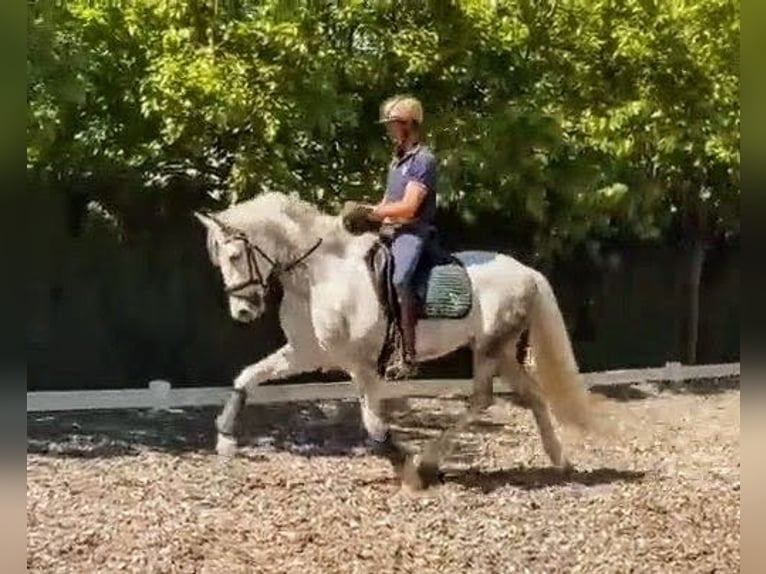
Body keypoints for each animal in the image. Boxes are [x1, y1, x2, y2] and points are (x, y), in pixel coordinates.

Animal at [194, 191, 611, 489]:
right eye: (220, 260)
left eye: (235, 255)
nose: (243, 312)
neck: (319, 275)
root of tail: (527, 271)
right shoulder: (305, 353)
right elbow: (246, 377)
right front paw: (225, 441)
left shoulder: (359, 364)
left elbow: (374, 425)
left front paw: (406, 470)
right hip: (502, 351)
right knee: (533, 396)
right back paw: (559, 461)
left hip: (489, 348)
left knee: (482, 400)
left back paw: (429, 462)